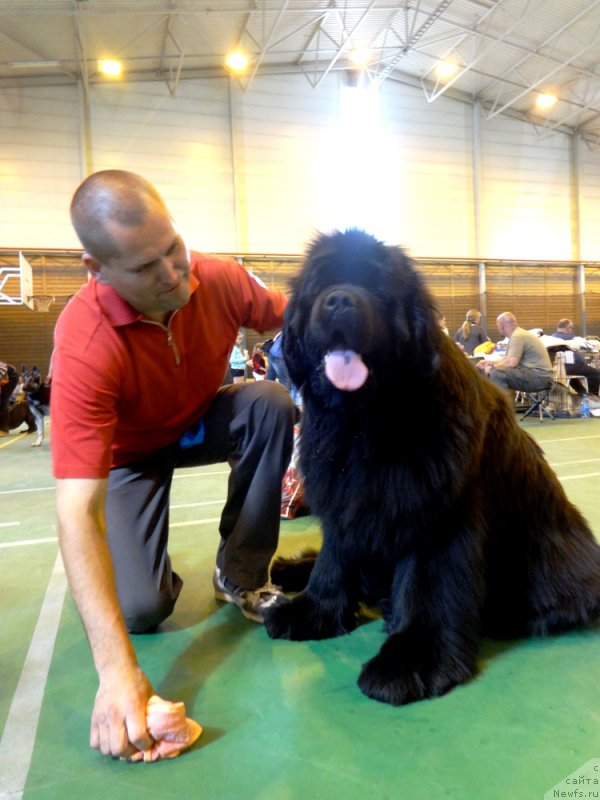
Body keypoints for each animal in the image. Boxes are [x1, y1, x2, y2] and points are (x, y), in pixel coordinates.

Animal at [266, 230, 600, 708]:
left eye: (377, 287)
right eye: (321, 284)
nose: (340, 300)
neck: (366, 422)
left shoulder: (435, 511)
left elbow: (427, 586)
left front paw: (411, 658)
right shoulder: (346, 500)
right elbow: (333, 559)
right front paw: (314, 609)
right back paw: (292, 570)